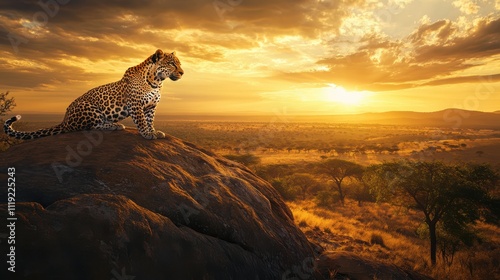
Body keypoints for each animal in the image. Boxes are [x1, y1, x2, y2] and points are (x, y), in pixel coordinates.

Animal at [3, 49, 184, 140]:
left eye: (179, 64)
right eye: (172, 64)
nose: (183, 72)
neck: (157, 82)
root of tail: (64, 120)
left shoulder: (151, 107)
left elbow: (149, 120)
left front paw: (154, 131)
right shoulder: (136, 105)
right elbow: (141, 122)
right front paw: (147, 134)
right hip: (88, 108)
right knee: (91, 127)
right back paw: (114, 125)